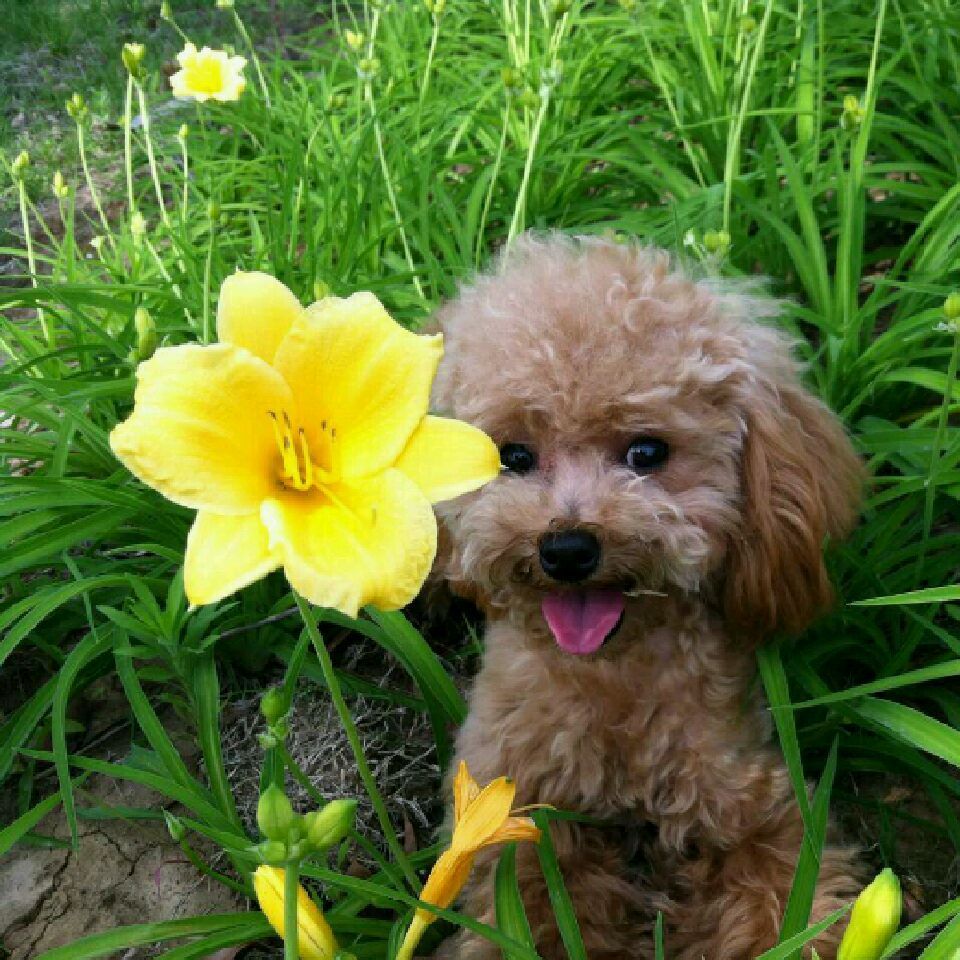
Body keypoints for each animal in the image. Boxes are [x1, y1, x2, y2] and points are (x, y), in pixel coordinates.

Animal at [428, 234, 864, 959]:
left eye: (647, 452)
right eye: (513, 456)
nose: (566, 549)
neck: (613, 679)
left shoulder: (746, 799)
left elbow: (786, 898)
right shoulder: (517, 809)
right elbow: (538, 910)